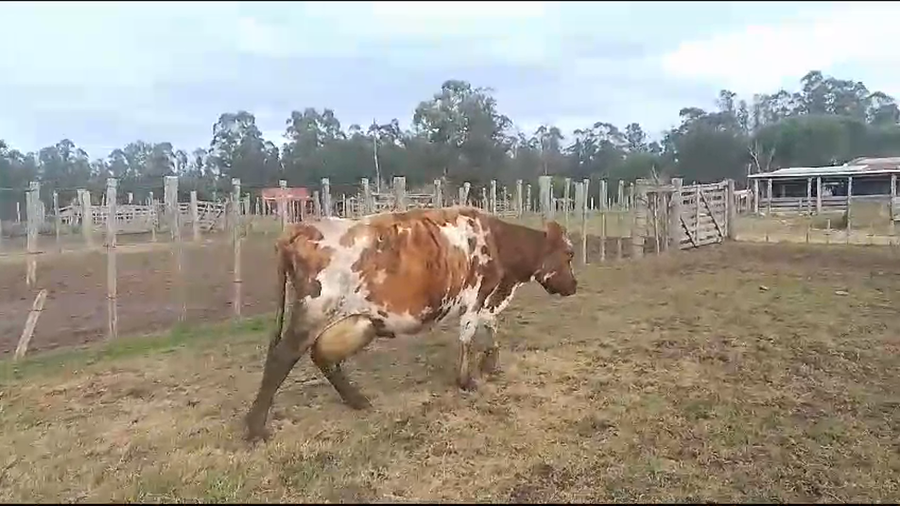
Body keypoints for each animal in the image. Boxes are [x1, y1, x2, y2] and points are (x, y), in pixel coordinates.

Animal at [243, 206, 578, 443]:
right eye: (569, 254)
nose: (574, 286)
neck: (498, 243)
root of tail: (299, 228)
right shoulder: (477, 296)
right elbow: (469, 336)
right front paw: (466, 380)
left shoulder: (487, 300)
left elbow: (491, 328)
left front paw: (490, 365)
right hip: (313, 312)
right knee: (281, 358)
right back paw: (255, 429)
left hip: (353, 320)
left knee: (322, 356)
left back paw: (357, 400)